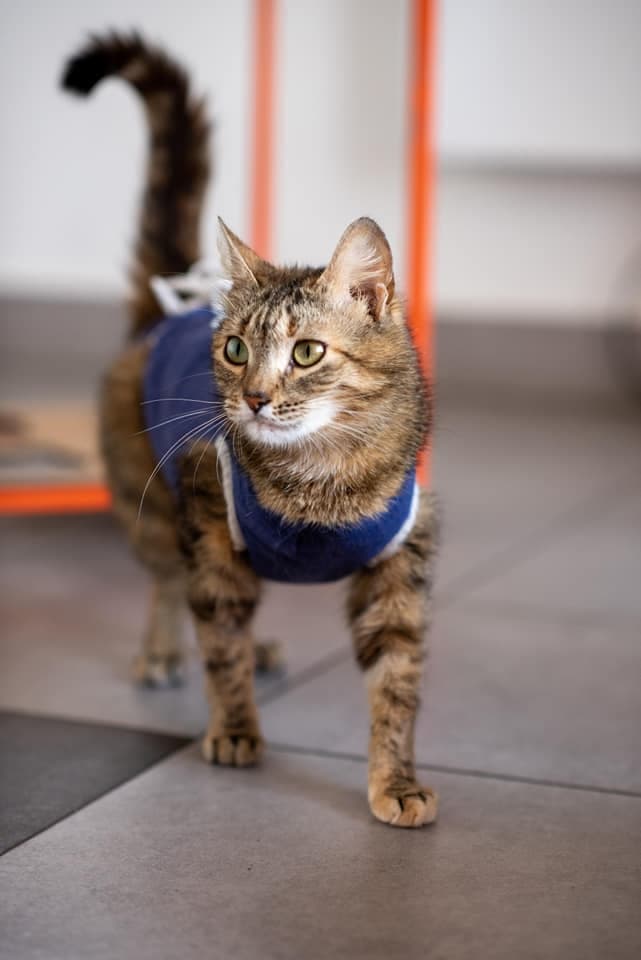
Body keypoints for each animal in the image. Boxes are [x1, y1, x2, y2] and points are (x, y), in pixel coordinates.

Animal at [62, 32, 439, 828]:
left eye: (307, 353)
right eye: (235, 350)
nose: (257, 398)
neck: (321, 484)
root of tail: (171, 302)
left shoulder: (401, 563)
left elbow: (397, 680)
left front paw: (395, 780)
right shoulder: (210, 529)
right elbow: (220, 642)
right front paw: (235, 727)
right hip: (154, 509)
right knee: (169, 583)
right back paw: (165, 650)